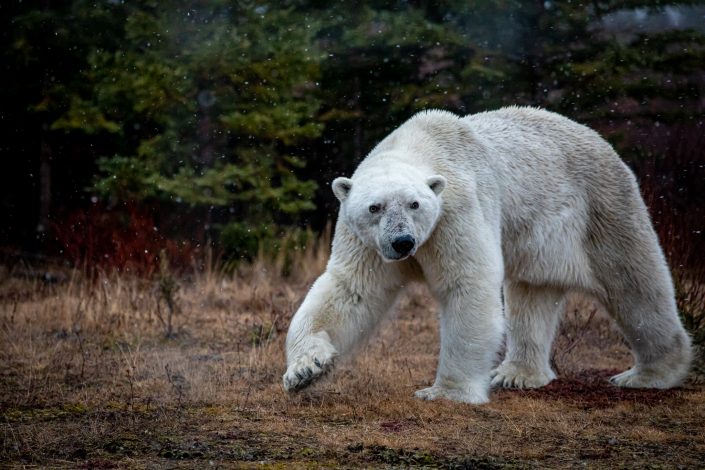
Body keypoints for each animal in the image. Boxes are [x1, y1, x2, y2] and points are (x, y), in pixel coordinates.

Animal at [282, 106, 692, 404]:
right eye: (374, 207)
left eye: (415, 204)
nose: (403, 243)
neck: (422, 143)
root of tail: (602, 142)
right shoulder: (365, 240)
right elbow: (350, 290)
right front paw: (305, 370)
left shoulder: (457, 210)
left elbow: (468, 285)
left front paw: (444, 393)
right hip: (538, 241)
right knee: (531, 297)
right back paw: (518, 374)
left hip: (602, 207)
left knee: (634, 285)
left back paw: (651, 373)